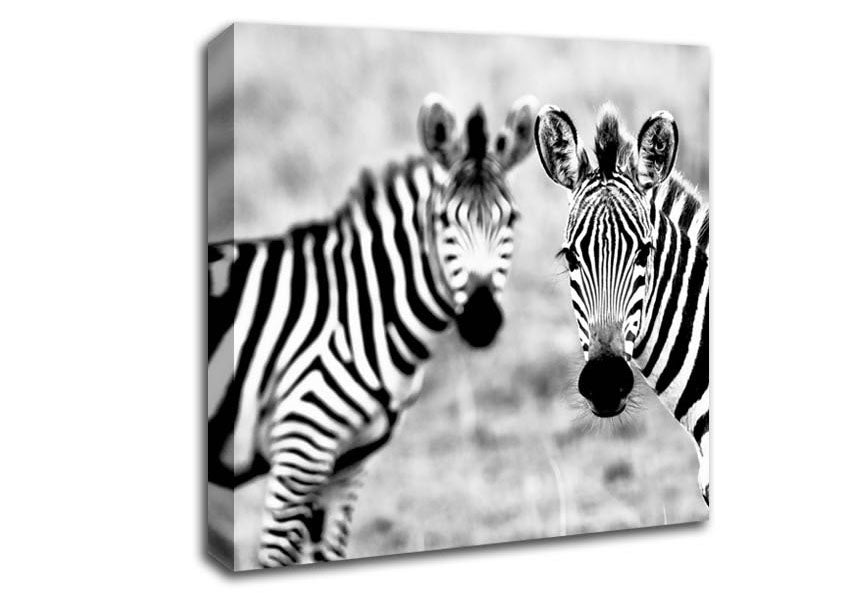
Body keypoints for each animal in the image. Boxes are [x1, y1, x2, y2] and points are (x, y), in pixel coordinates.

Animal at [208, 93, 538, 567]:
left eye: (511, 219)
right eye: (443, 220)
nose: (481, 320)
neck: (360, 309)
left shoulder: (347, 465)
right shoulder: (301, 448)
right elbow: (277, 557)